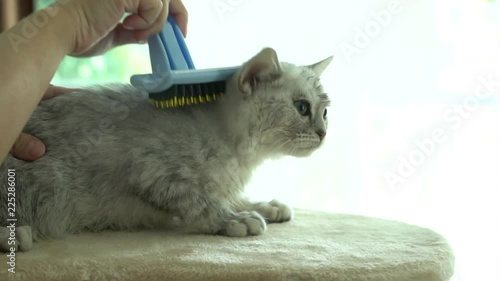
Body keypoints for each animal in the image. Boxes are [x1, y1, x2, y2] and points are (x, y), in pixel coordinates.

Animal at [0, 48, 332, 252]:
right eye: (302, 108)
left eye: (325, 112)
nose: (323, 133)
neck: (241, 156)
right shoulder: (156, 175)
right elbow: (203, 203)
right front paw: (234, 219)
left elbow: (230, 196)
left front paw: (265, 206)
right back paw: (14, 237)